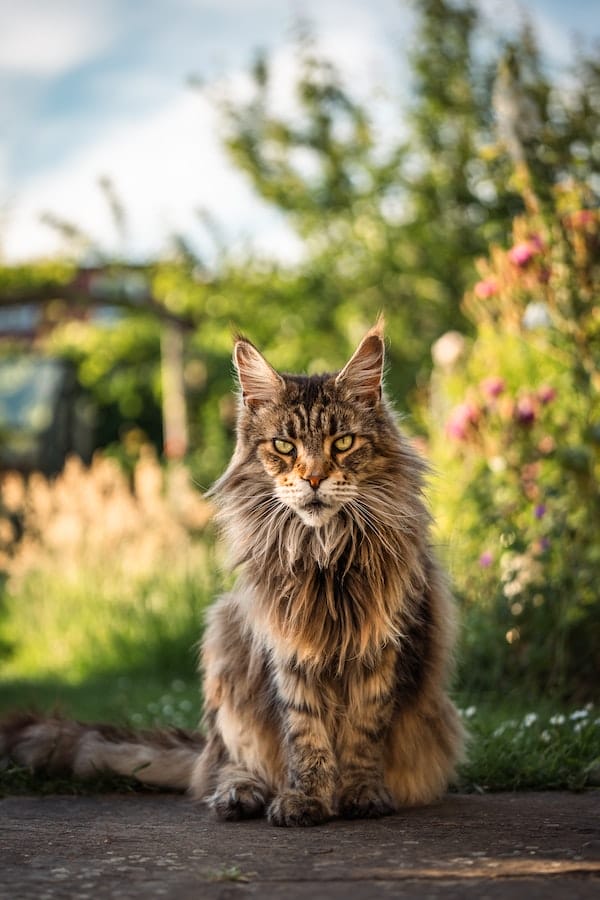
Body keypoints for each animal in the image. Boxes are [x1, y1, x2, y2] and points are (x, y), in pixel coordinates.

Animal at [0, 324, 464, 828]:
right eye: (284, 447)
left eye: (342, 443)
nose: (314, 478)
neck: (322, 551)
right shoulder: (287, 649)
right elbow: (306, 737)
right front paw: (306, 800)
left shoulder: (387, 645)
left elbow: (364, 732)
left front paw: (361, 795)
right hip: (225, 639)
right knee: (230, 764)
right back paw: (240, 796)